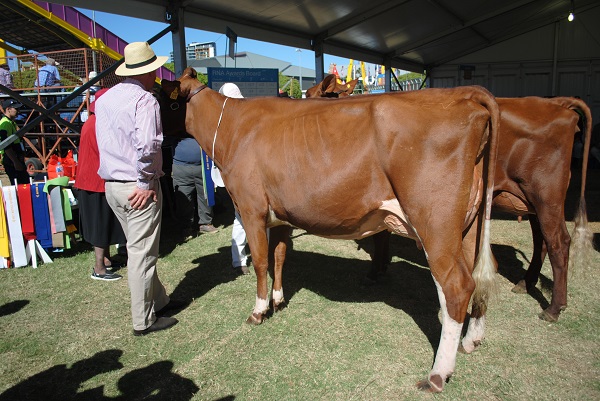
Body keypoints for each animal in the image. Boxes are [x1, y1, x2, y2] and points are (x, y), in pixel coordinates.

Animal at [158, 68, 496, 390]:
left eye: (162, 98)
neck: (232, 128)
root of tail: (464, 95)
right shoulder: (281, 215)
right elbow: (280, 256)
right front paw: (278, 300)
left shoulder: (252, 209)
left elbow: (261, 262)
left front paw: (259, 310)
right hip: (470, 228)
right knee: (478, 277)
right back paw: (470, 341)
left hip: (434, 224)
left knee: (455, 286)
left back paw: (437, 375)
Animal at [310, 78, 596, 322]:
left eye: (313, 95)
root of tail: (558, 103)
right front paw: (380, 268)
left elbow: (380, 236)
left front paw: (374, 271)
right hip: (531, 201)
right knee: (542, 242)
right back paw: (525, 284)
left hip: (546, 196)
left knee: (559, 243)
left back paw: (554, 307)